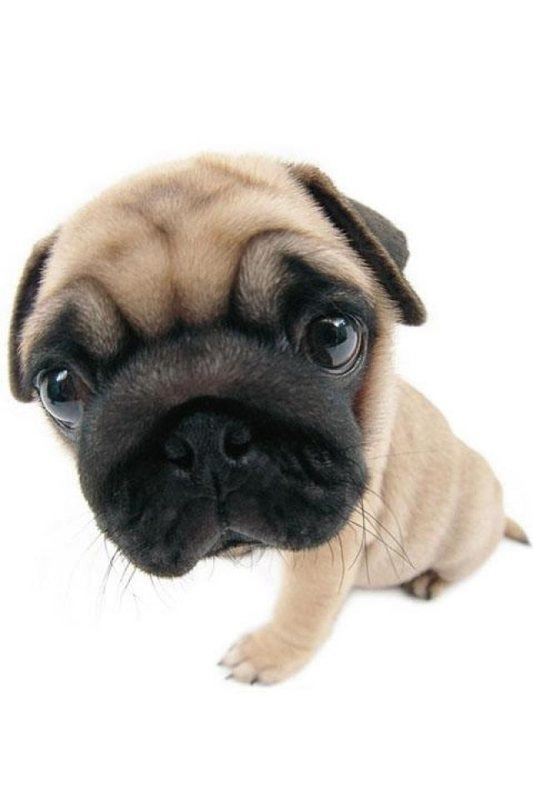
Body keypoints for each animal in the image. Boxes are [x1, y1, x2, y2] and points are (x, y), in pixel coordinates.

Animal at [9, 153, 527, 684]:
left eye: (334, 337)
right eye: (60, 390)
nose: (204, 432)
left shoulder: (333, 546)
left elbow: (303, 607)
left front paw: (268, 654)